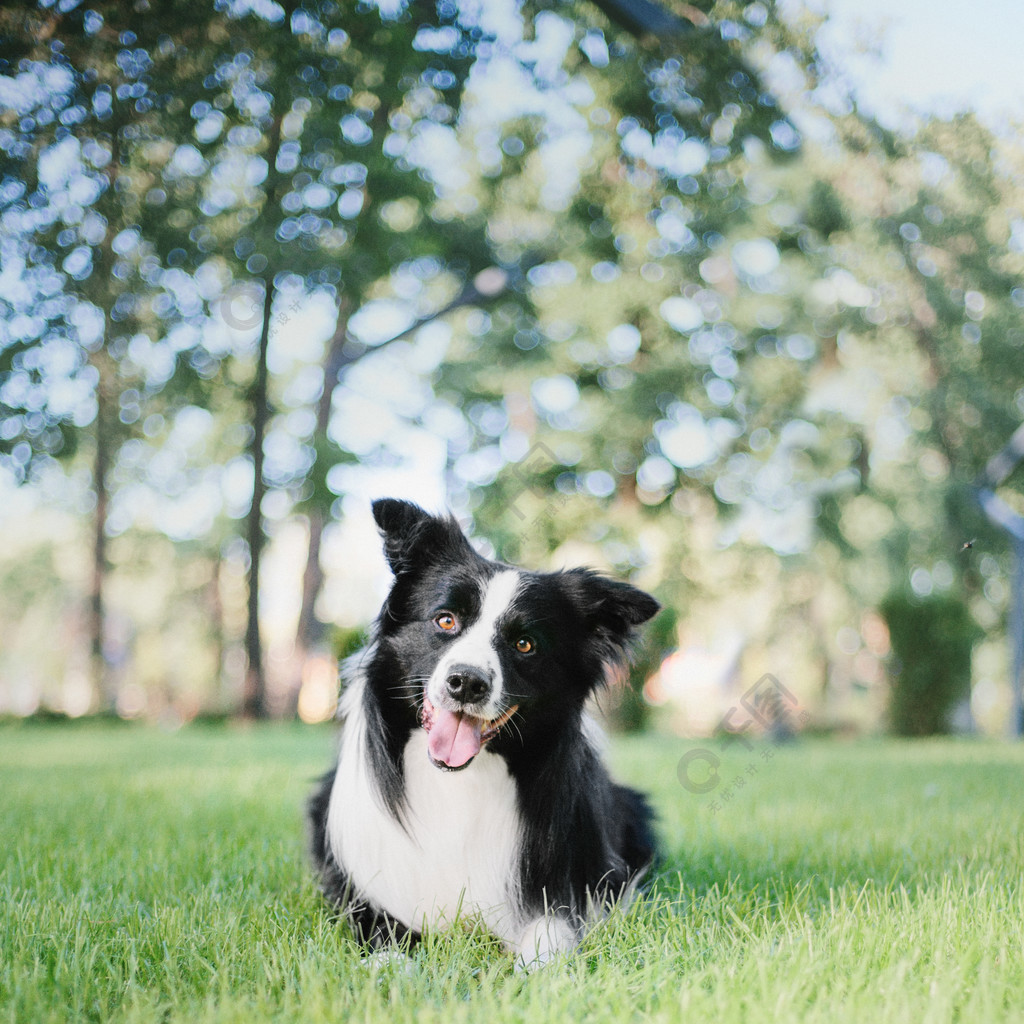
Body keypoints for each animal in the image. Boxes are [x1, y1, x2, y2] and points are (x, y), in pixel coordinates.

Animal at [307, 499, 659, 962]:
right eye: (445, 620)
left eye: (525, 644)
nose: (467, 682)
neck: (459, 781)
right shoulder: (362, 889)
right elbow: (382, 930)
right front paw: (389, 964)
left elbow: (551, 931)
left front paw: (541, 968)